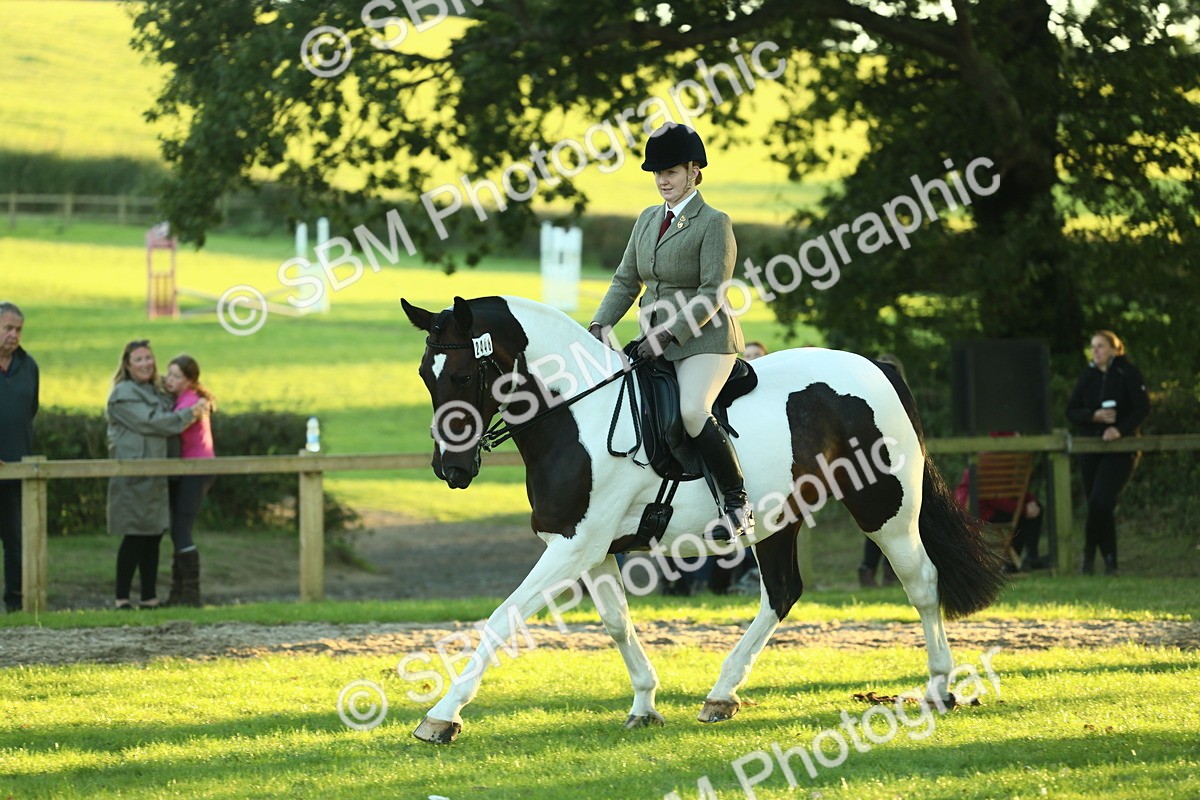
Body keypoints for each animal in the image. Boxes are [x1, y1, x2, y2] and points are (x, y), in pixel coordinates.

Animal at [400, 294, 1007, 744]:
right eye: (426, 376)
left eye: (461, 377)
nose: (450, 469)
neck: (577, 412)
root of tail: (874, 367)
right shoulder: (588, 548)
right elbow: (617, 623)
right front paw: (645, 702)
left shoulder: (573, 547)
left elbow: (502, 619)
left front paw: (442, 715)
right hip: (778, 518)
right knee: (782, 592)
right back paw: (721, 695)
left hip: (884, 505)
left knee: (921, 582)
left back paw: (939, 689)